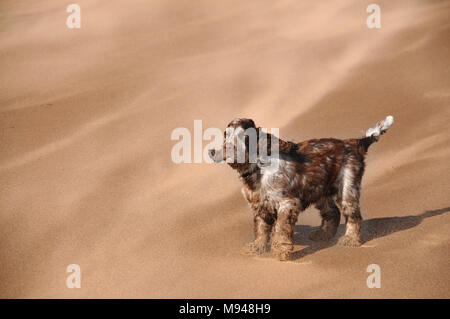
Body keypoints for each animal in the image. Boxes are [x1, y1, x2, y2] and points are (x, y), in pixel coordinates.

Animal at [208, 116, 394, 262]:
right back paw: (323, 235)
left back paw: (350, 239)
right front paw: (257, 248)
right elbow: (260, 229)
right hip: (320, 191)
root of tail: (354, 143)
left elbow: (281, 229)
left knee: (353, 215)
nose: (213, 152)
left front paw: (280, 251)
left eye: (243, 136)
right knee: (332, 212)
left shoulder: (287, 204)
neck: (258, 169)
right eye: (225, 135)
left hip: (347, 188)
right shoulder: (260, 206)